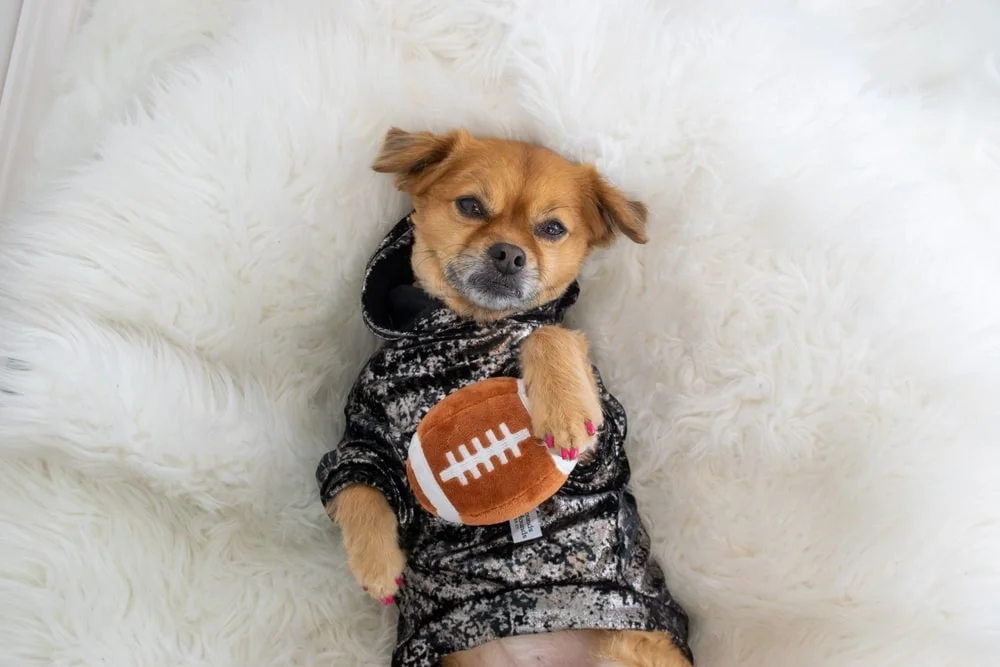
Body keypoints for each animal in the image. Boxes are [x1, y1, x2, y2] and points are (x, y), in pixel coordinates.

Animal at [316, 128, 692, 664]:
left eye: (552, 229)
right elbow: (358, 485)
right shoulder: (364, 439)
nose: (510, 254)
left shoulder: (604, 448)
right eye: (471, 205)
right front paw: (375, 560)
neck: (469, 328)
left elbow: (550, 334)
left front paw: (564, 409)